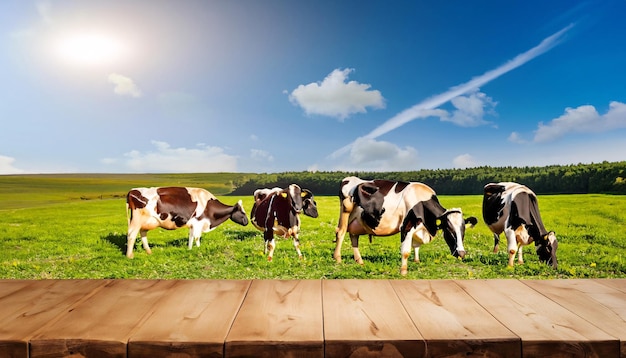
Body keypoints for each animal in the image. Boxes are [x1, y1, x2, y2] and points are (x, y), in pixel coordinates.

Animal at [334, 176, 476, 274]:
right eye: (449, 230)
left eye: (463, 230)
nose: (461, 253)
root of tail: (349, 178)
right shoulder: (407, 226)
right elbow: (406, 251)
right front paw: (403, 271)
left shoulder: (419, 227)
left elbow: (416, 246)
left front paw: (417, 261)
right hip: (346, 209)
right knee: (341, 232)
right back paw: (338, 259)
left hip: (356, 220)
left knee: (353, 236)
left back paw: (360, 261)